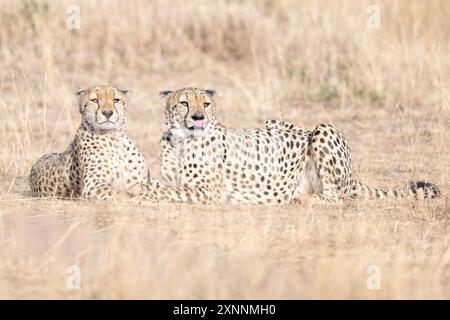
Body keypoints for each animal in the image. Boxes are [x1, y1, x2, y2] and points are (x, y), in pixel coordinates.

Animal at [28, 85, 158, 200]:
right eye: (94, 100)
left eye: (116, 100)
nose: (107, 113)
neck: (114, 138)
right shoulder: (92, 185)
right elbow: (120, 192)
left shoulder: (142, 180)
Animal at [139, 86, 438, 204]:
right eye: (184, 103)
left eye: (206, 104)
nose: (198, 117)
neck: (180, 139)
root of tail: (353, 177)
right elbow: (158, 183)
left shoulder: (205, 191)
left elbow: (164, 190)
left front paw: (138, 192)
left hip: (322, 129)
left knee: (338, 196)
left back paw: (302, 197)